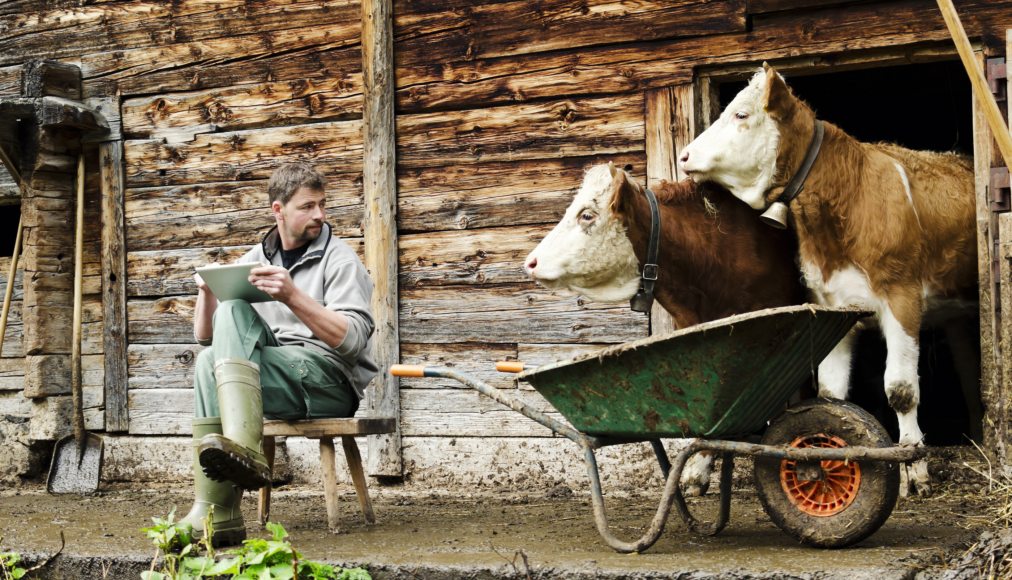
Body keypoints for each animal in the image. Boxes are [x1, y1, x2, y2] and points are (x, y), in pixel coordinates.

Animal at [676, 64, 975, 498]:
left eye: (741, 114)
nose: (684, 155)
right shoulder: (834, 307)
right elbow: (831, 394)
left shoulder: (902, 297)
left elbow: (901, 390)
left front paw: (914, 468)